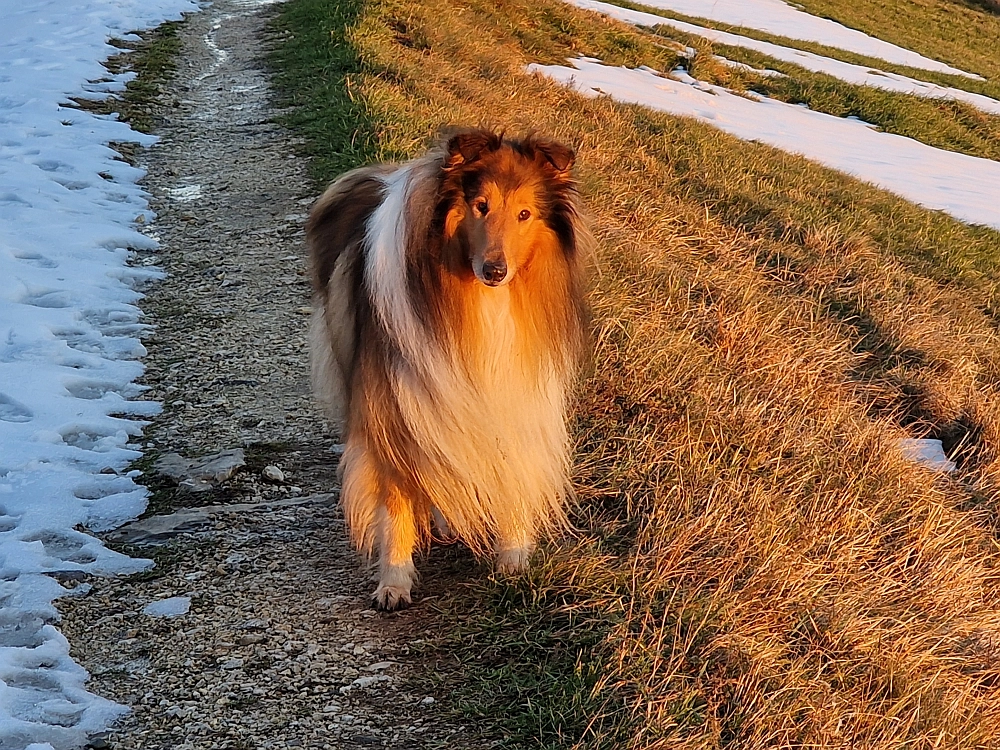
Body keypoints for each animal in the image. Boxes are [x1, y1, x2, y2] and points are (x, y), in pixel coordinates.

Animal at [304, 129, 584, 612]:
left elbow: (512, 471)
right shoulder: (391, 406)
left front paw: (514, 559)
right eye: (481, 205)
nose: (495, 270)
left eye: (525, 213)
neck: (479, 305)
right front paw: (394, 582)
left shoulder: (514, 390)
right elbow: (396, 499)